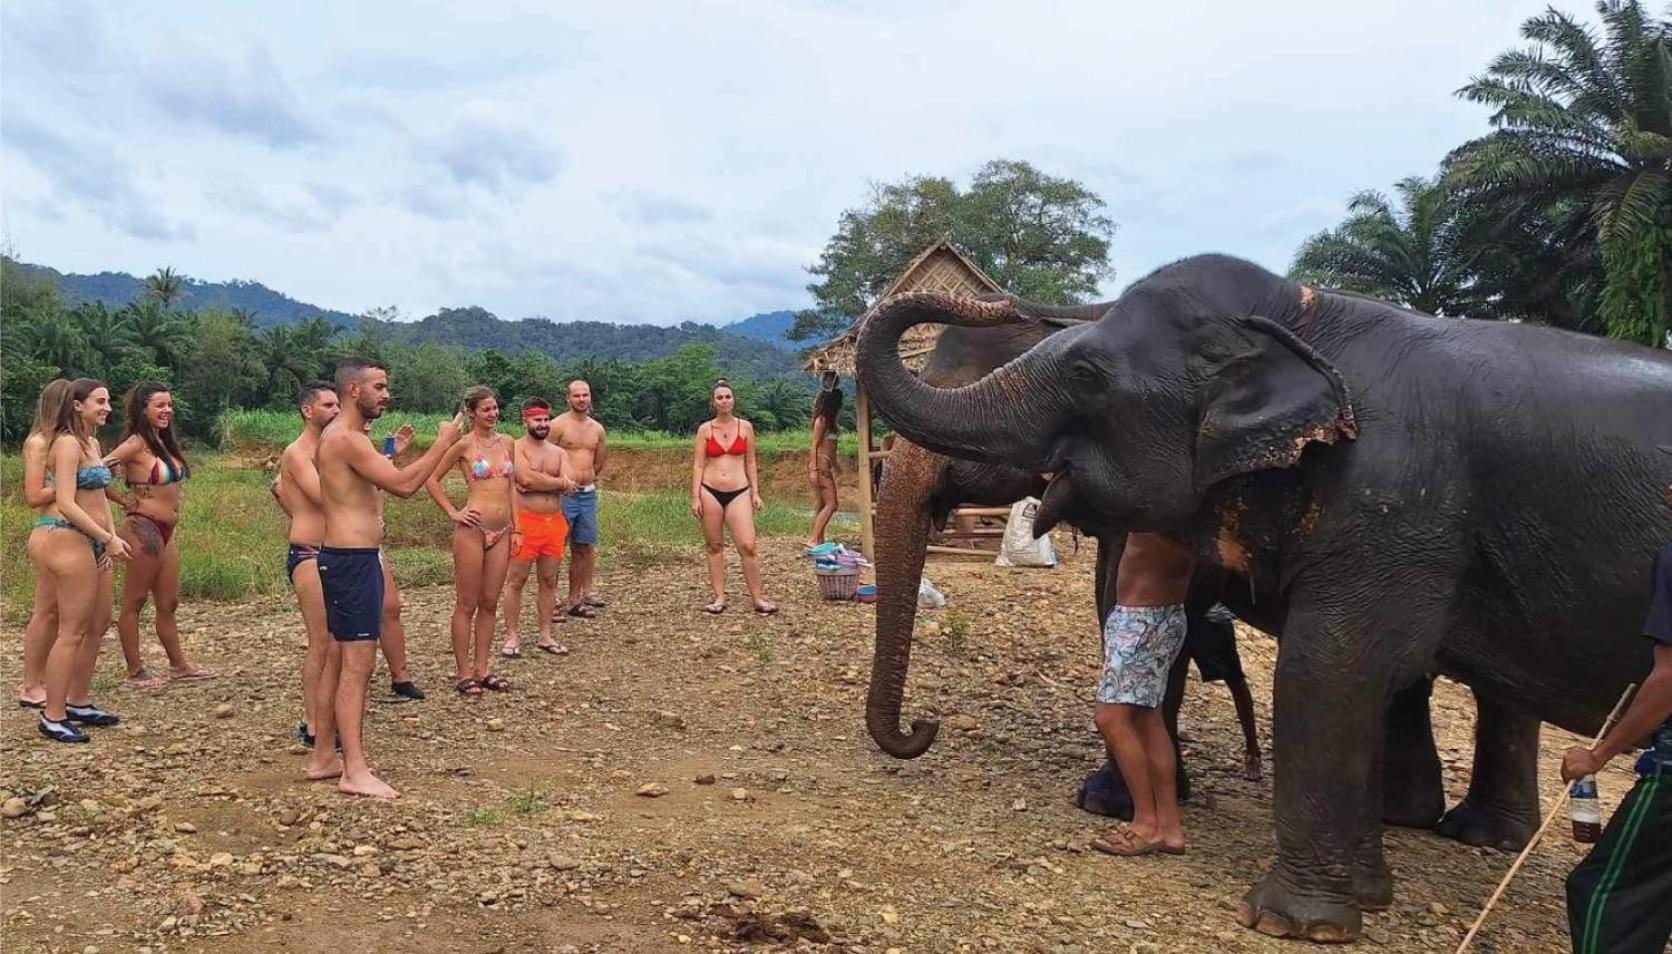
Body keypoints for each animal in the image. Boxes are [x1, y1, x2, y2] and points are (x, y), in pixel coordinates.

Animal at [862, 255, 1672, 948]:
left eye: (1087, 375)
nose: (923, 728)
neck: (1300, 317)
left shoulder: (1390, 496)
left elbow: (1326, 664)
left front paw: (1287, 919)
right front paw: (1361, 893)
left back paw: (1473, 837)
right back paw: (1430, 830)